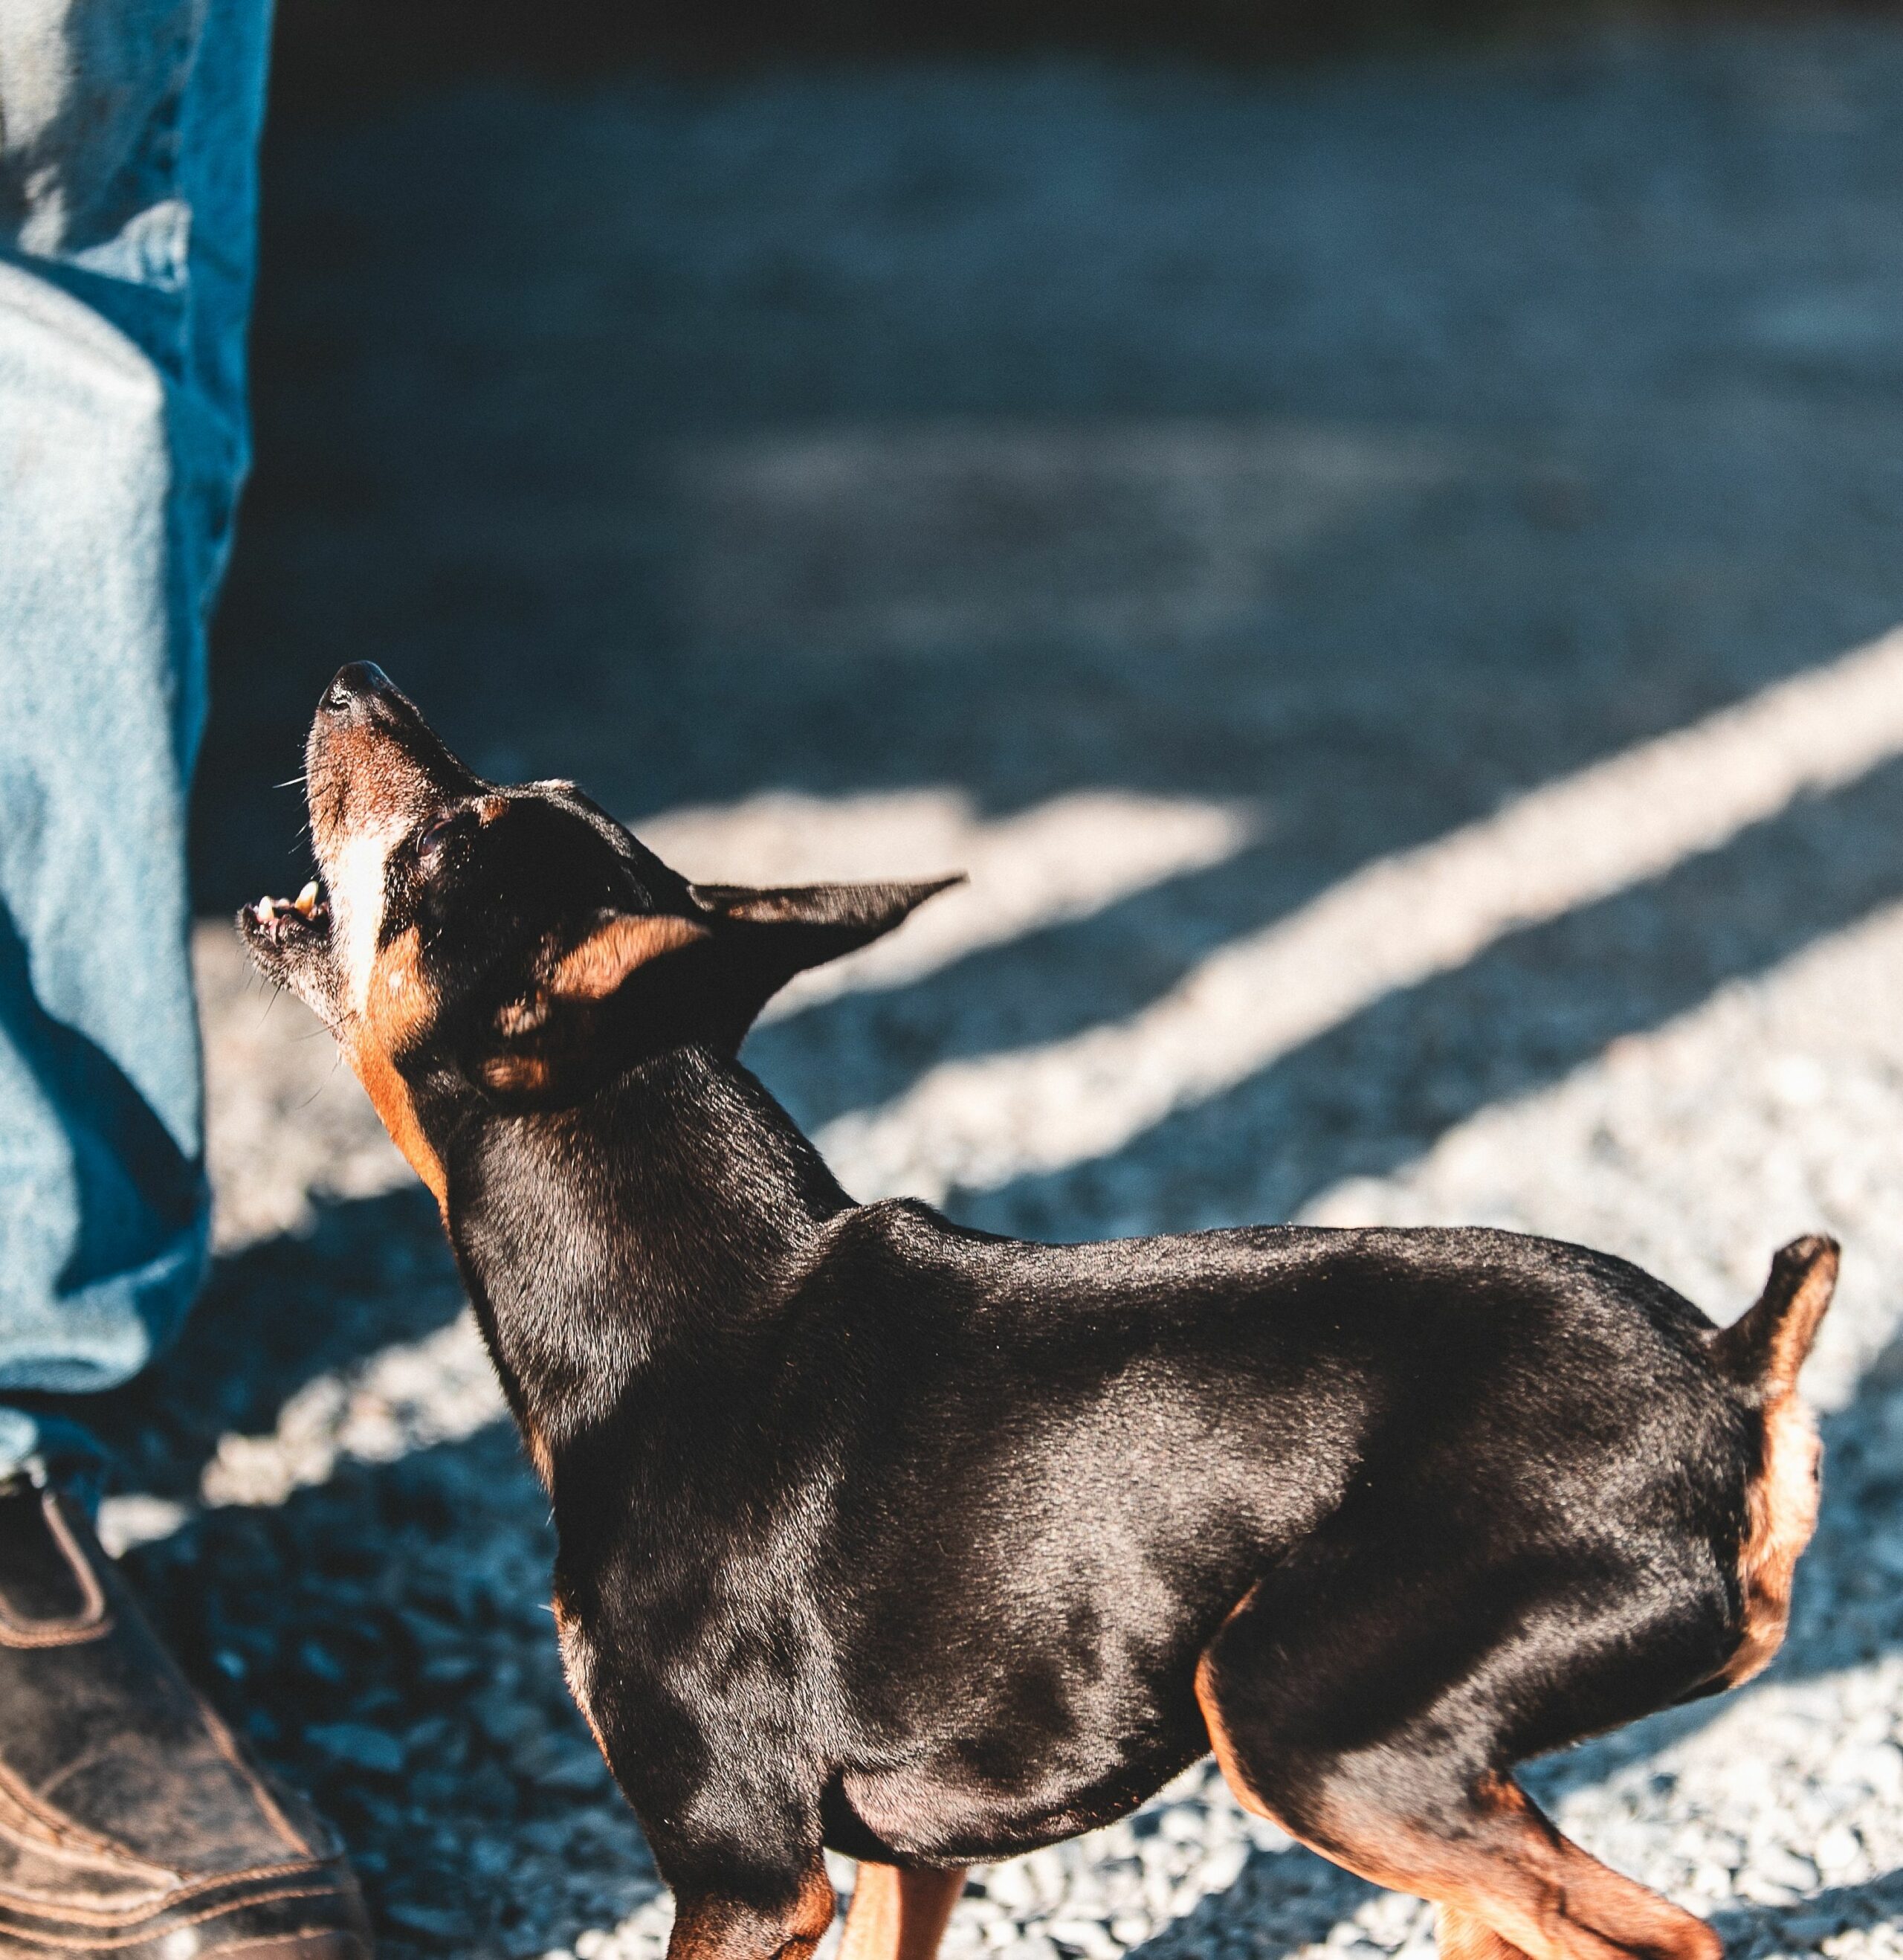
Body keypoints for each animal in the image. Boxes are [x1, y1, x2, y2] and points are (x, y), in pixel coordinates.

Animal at [245, 666, 1834, 1960]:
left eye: (446, 838)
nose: (354, 678)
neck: (684, 1306)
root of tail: (1729, 1374)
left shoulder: (745, 1877)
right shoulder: (896, 1860)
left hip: (1301, 1721)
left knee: (1669, 1937)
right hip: (1423, 1761)